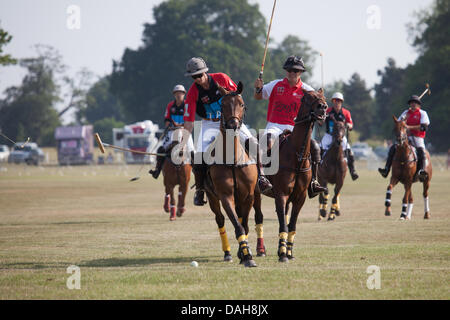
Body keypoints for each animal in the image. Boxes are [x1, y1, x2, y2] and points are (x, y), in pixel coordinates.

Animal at [204, 82, 256, 268]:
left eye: (242, 104)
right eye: (223, 105)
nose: (233, 125)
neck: (233, 159)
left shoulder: (248, 196)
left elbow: (244, 225)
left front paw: (244, 253)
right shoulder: (225, 195)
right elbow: (237, 226)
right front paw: (247, 256)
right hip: (212, 196)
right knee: (220, 220)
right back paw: (227, 253)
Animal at [264, 89, 326, 262]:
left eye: (324, 97)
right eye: (307, 98)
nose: (323, 107)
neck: (297, 156)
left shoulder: (300, 197)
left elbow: (291, 224)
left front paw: (288, 252)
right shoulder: (281, 194)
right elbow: (283, 225)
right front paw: (283, 255)